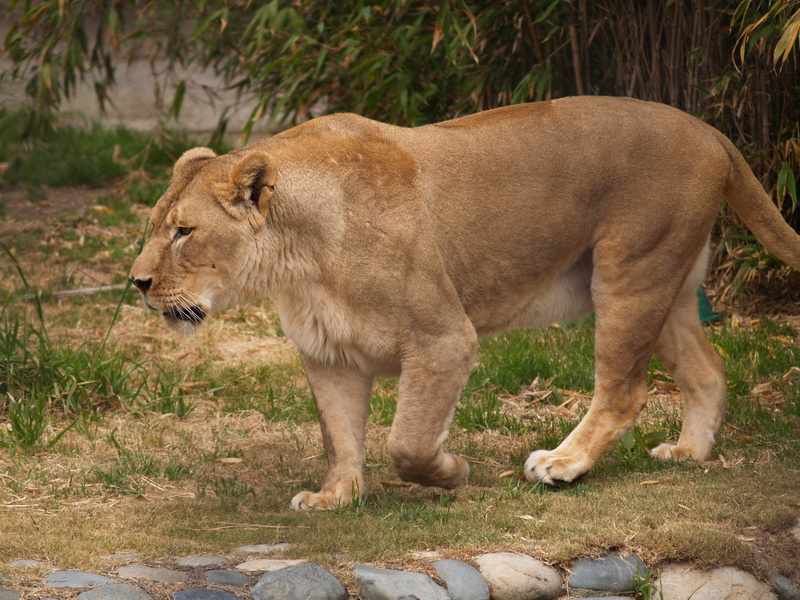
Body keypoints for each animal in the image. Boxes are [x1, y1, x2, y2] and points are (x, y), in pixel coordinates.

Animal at [130, 96, 800, 510]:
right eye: (156, 225)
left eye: (184, 232)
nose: (137, 283)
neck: (298, 261)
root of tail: (711, 130)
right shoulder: (330, 354)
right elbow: (342, 437)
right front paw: (336, 497)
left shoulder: (442, 337)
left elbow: (409, 440)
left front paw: (452, 474)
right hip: (667, 286)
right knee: (708, 370)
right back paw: (688, 453)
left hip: (629, 275)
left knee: (623, 390)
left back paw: (564, 463)